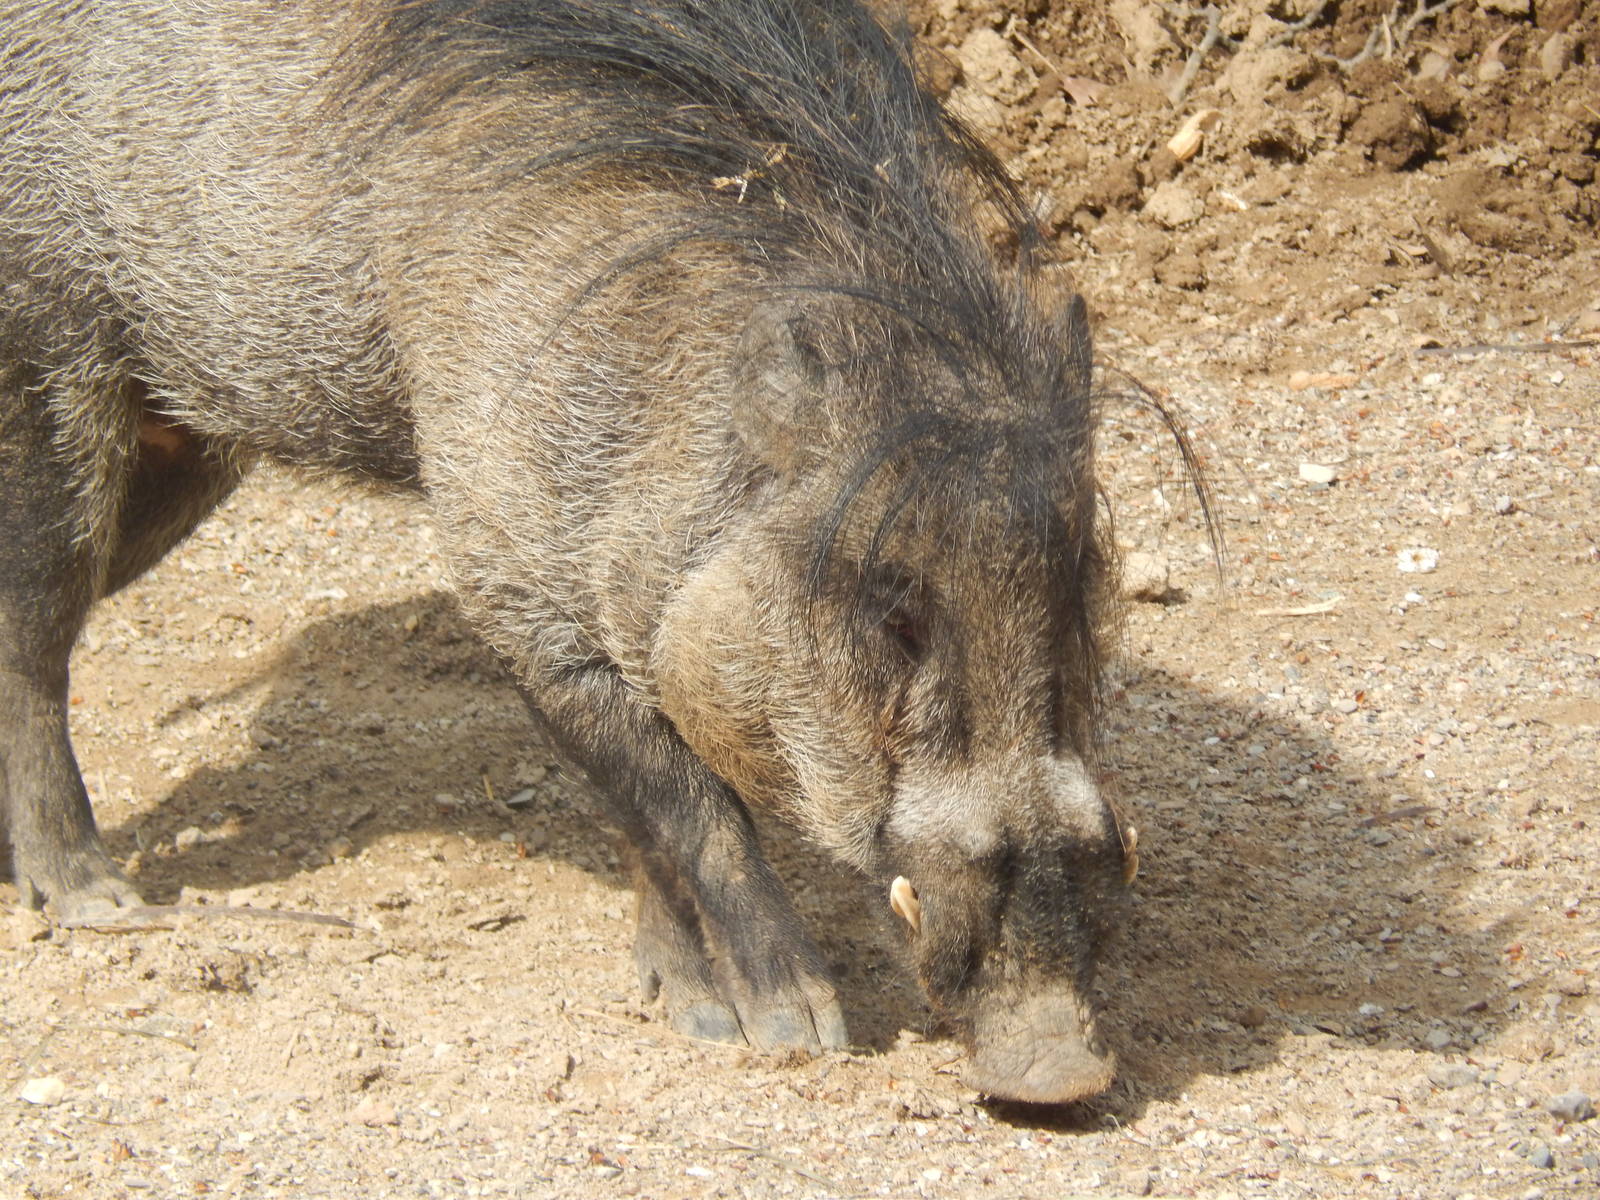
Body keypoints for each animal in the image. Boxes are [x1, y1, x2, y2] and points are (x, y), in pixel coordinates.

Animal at [0, 0, 1195, 1102]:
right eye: (893, 611)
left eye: (1079, 594)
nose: (1060, 1071)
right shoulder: (524, 595)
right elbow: (687, 809)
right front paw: (790, 1027)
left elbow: (652, 826)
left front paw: (689, 1008)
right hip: (49, 372)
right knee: (33, 630)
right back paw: (92, 900)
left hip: (185, 446)